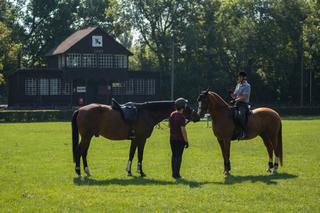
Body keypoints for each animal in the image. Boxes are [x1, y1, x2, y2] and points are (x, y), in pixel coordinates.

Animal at [71, 100, 199, 177]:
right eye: (188, 107)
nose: (198, 116)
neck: (146, 113)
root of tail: (80, 109)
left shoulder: (135, 140)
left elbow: (131, 154)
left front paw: (129, 171)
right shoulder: (142, 139)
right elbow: (140, 155)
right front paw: (141, 172)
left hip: (88, 137)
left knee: (84, 152)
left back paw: (87, 171)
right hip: (86, 137)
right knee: (80, 151)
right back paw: (78, 171)